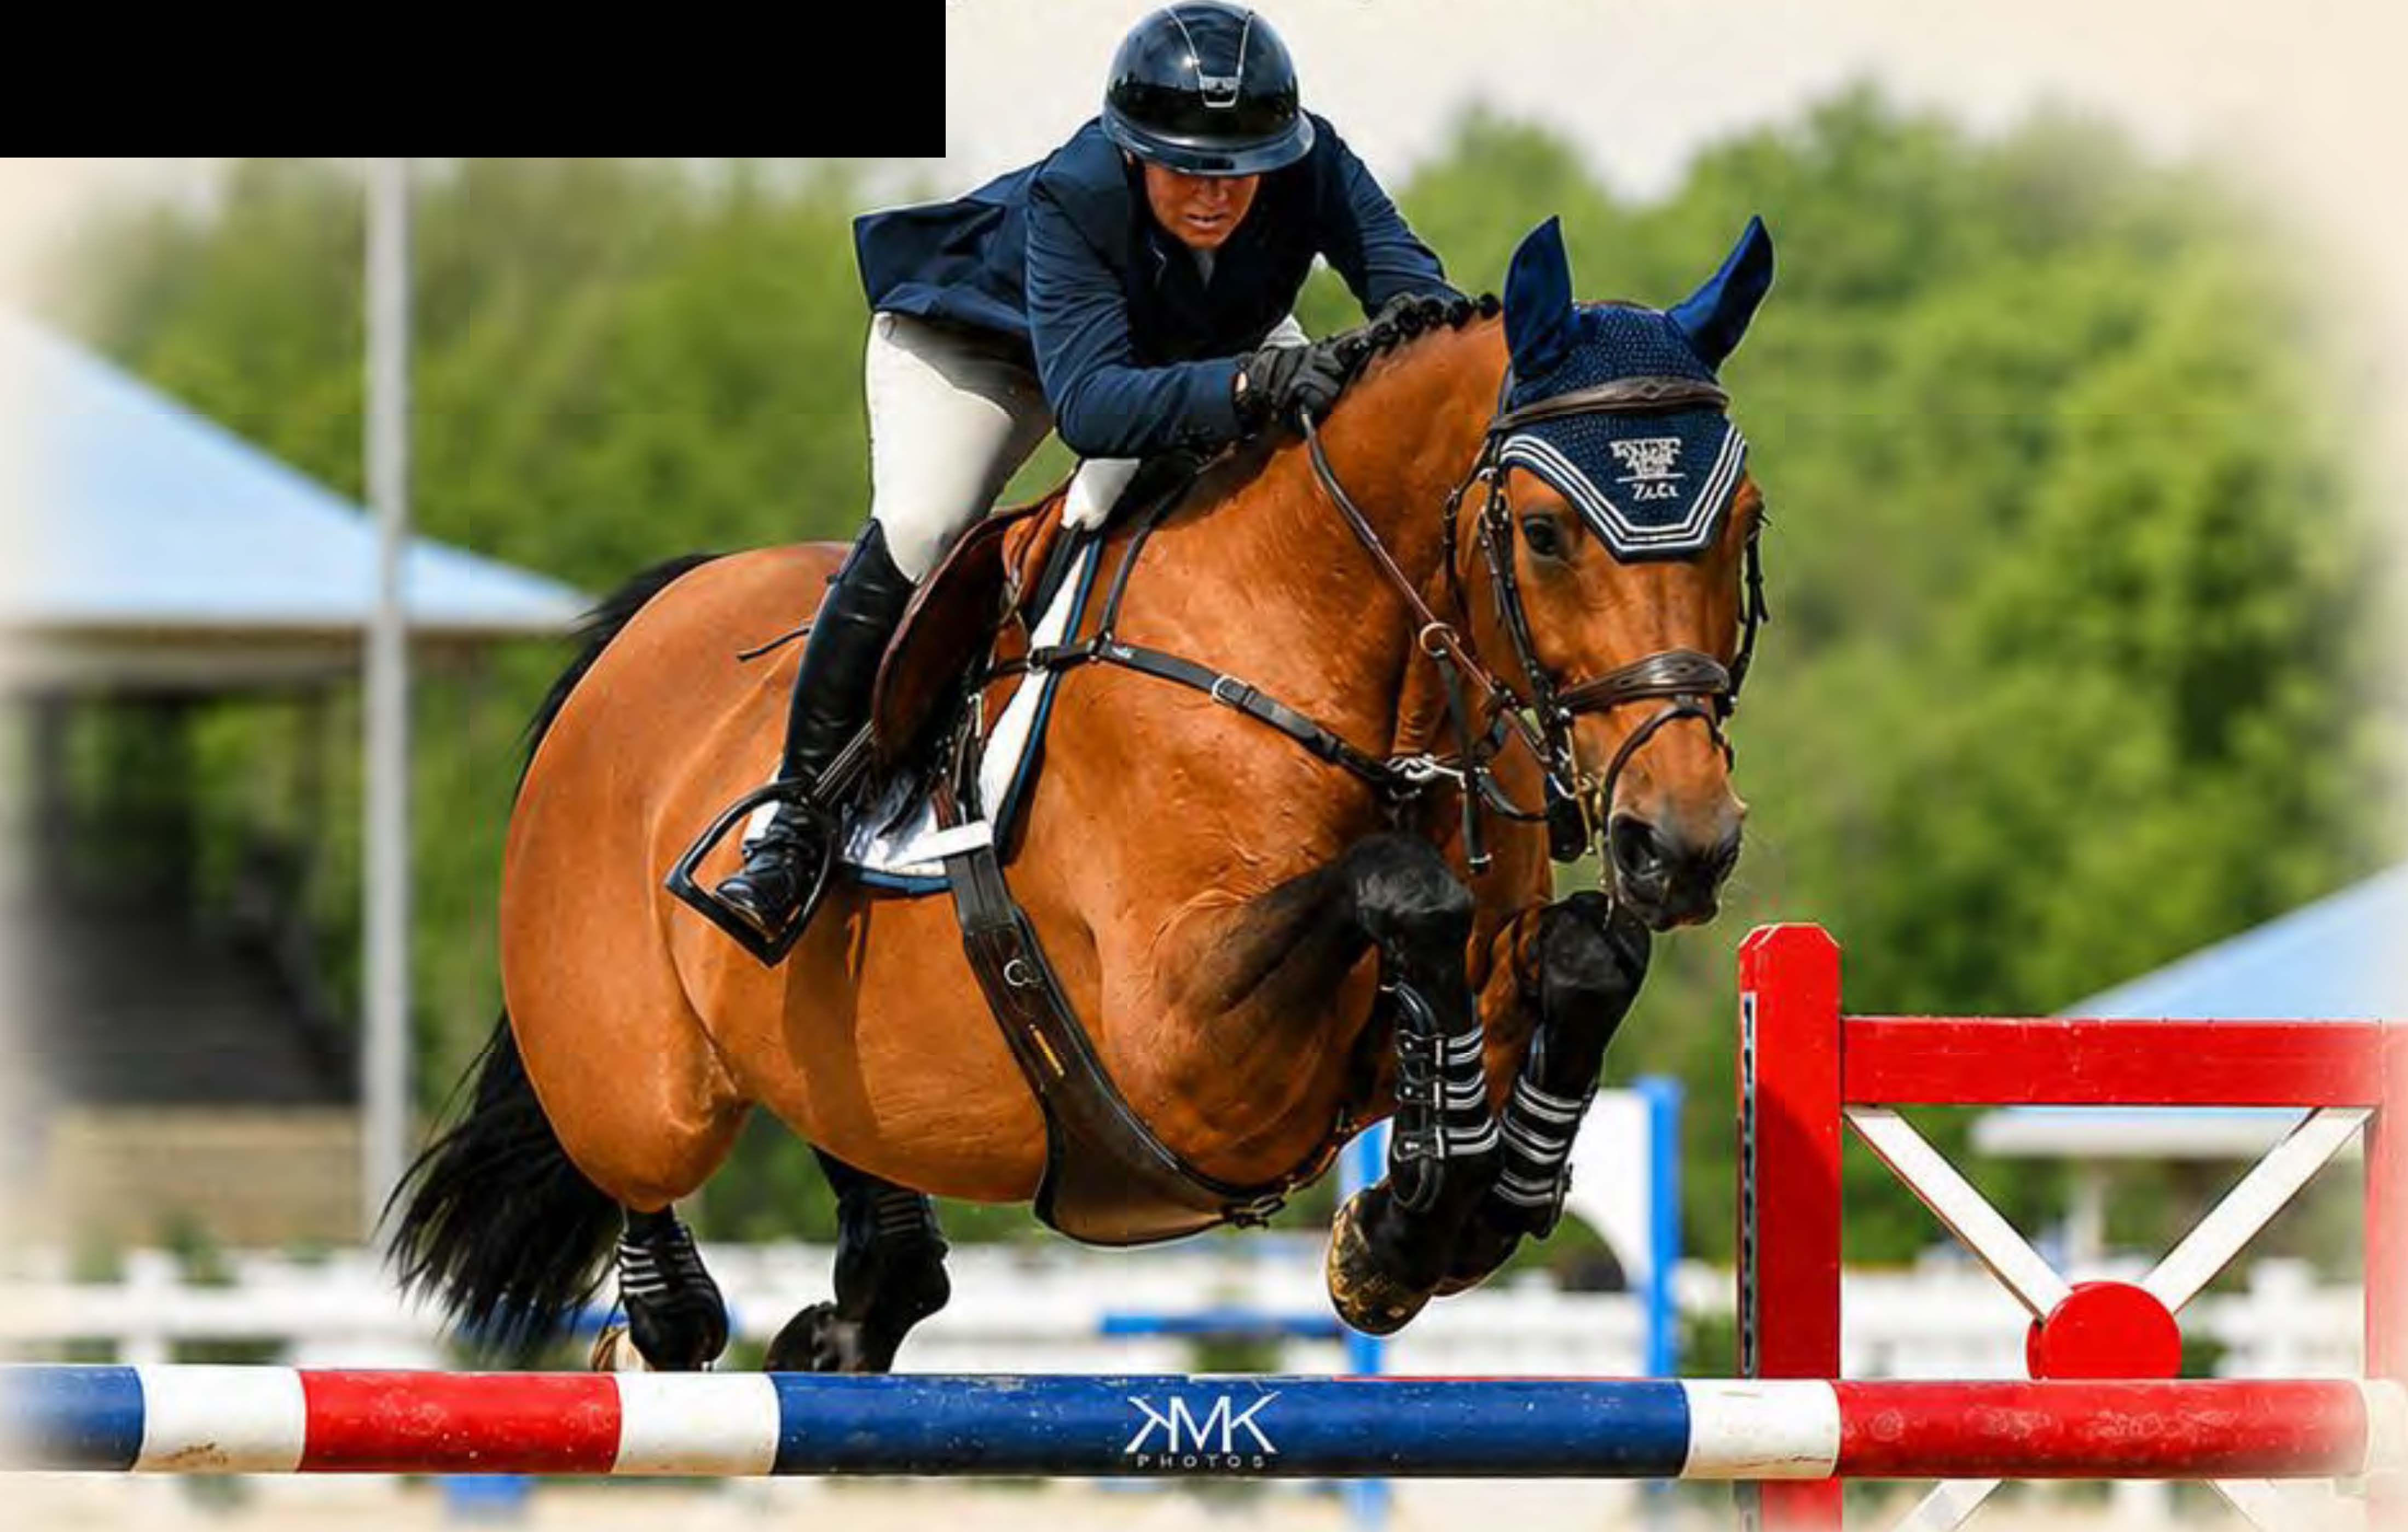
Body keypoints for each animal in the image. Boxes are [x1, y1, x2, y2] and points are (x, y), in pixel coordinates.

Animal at [390, 213, 1775, 1372]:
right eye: (1543, 532)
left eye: (1744, 520)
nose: (1681, 845)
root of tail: (638, 633)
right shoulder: (1178, 1044)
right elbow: (1402, 891)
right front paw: (1409, 1213)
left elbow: (1586, 957)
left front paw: (1454, 1200)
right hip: (639, 1087)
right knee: (658, 1245)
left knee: (880, 1239)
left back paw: (844, 1323)